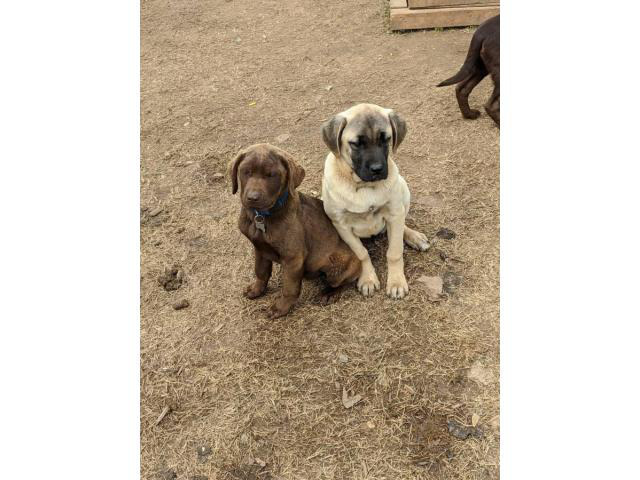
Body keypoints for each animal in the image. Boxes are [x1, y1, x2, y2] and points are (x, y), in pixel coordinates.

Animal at [230, 144, 360, 320]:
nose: (252, 198)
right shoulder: (260, 248)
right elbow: (261, 272)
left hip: (337, 264)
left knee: (343, 282)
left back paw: (329, 293)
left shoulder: (293, 257)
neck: (262, 217)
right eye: (246, 171)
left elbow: (289, 287)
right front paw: (257, 290)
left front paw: (281, 308)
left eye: (271, 175)